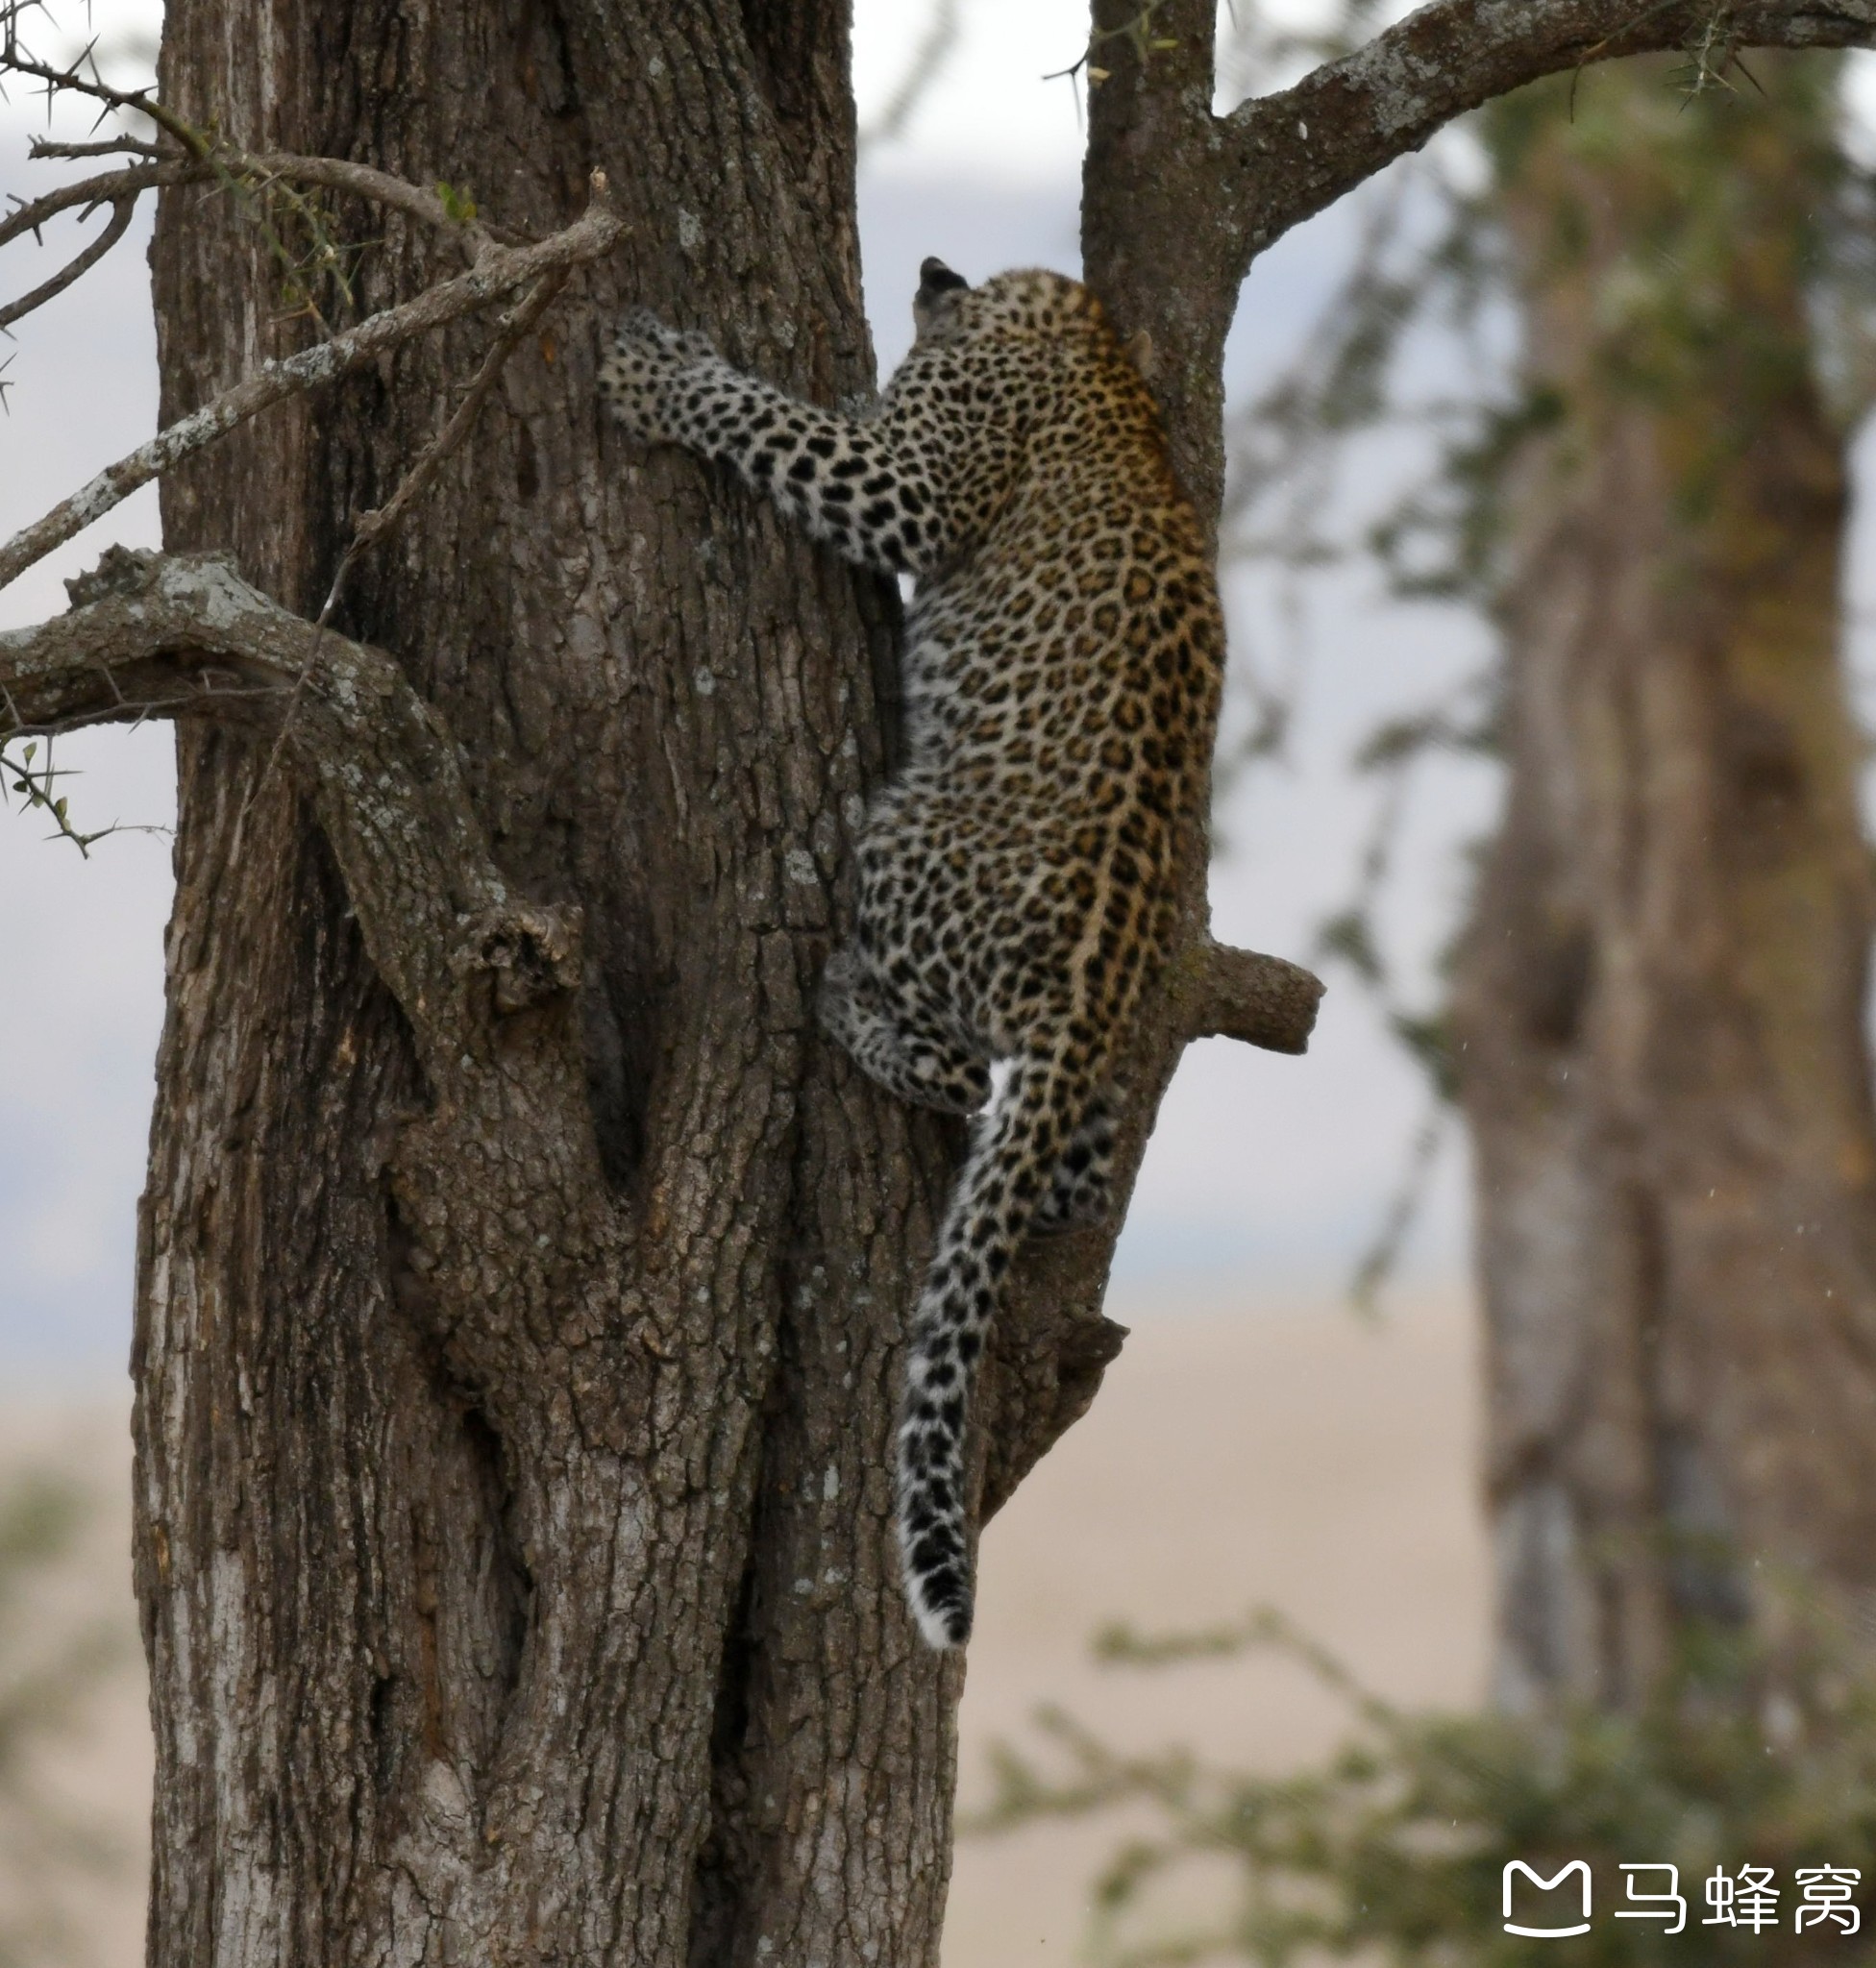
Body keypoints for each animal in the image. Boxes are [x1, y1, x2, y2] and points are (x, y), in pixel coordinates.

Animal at [594, 258, 1220, 1645]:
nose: (930, 269)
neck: (1069, 324)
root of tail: (1080, 1015)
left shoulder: (914, 487)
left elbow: (772, 421)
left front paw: (647, 370)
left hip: (897, 827)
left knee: (955, 1070)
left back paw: (838, 1001)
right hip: (1083, 1095)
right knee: (1064, 1177)